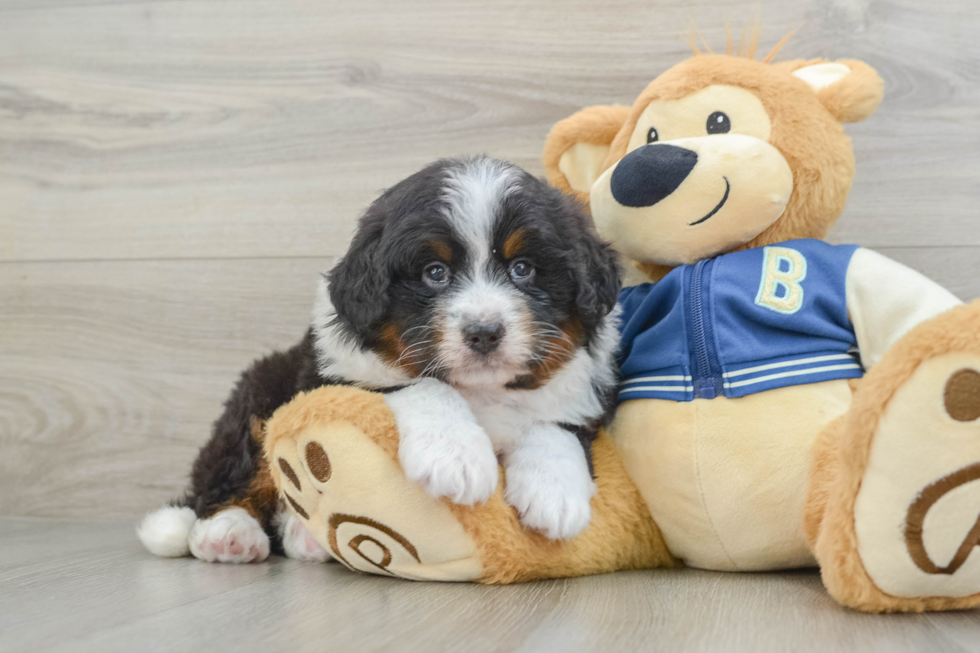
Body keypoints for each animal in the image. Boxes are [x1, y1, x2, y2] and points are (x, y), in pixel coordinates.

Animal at [138, 157, 620, 560]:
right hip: (260, 395)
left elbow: (554, 426)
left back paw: (301, 536)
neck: (481, 391)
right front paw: (456, 456)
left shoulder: (577, 395)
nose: (484, 332)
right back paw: (227, 532)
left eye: (523, 268)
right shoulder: (336, 375)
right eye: (434, 273)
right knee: (230, 476)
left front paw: (556, 493)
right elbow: (425, 383)